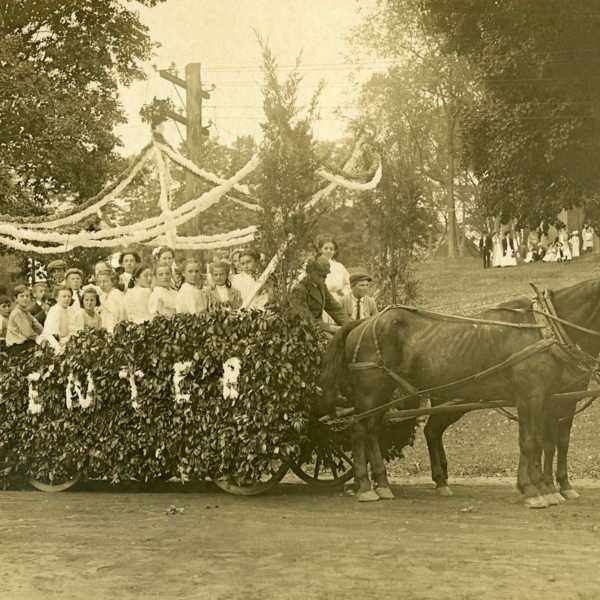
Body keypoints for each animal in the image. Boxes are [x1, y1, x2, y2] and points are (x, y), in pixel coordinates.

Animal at [318, 278, 600, 508]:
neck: (547, 330)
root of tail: (363, 323)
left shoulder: (556, 400)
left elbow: (553, 443)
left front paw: (553, 487)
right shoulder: (531, 397)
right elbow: (531, 442)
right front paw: (533, 490)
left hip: (394, 396)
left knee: (381, 430)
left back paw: (387, 484)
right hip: (370, 393)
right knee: (359, 431)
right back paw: (366, 486)